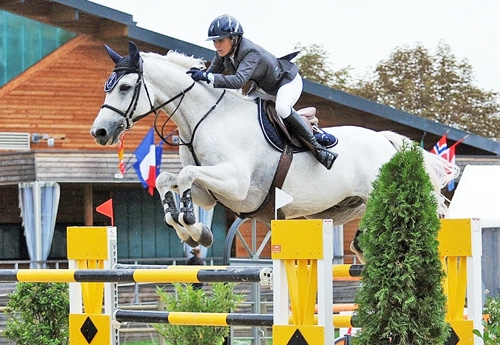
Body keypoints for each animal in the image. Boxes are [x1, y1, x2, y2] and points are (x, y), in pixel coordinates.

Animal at [89, 41, 458, 260]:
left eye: (125, 86)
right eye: (106, 86)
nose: (99, 132)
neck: (205, 118)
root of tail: (386, 140)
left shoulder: (237, 185)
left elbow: (186, 174)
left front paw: (191, 223)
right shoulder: (212, 193)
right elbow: (170, 179)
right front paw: (193, 230)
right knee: (361, 241)